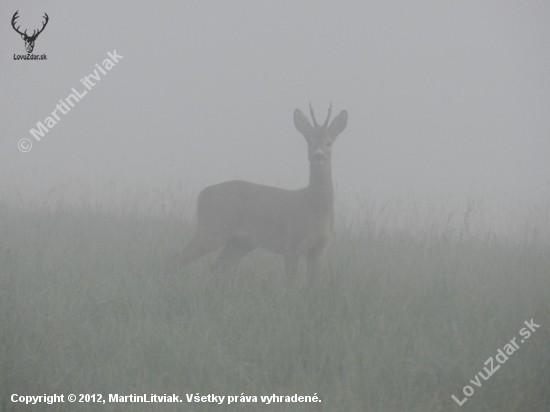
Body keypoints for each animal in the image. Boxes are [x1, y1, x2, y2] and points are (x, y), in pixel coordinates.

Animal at [177, 104, 350, 280]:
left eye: (329, 143)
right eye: (310, 142)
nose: (318, 156)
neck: (315, 207)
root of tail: (201, 195)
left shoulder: (319, 250)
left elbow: (312, 282)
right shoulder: (291, 242)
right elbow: (291, 281)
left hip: (240, 243)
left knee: (215, 267)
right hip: (211, 229)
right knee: (178, 258)